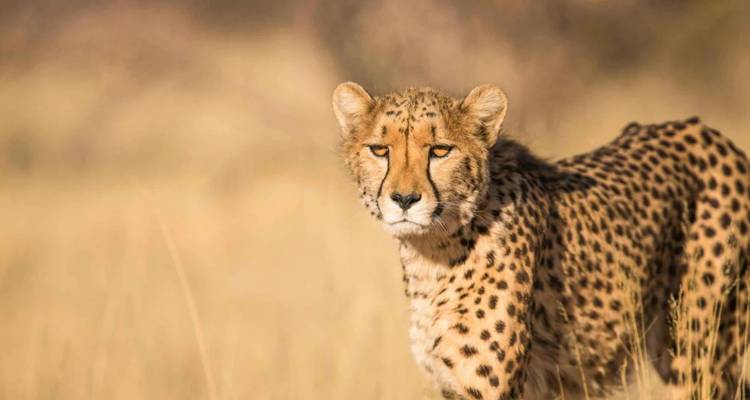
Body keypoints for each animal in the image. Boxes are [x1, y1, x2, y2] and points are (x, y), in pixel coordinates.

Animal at [332, 82, 750, 399]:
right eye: (379, 149)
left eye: (440, 150)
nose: (404, 199)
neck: (433, 253)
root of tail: (708, 133)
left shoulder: (488, 388)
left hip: (701, 353)